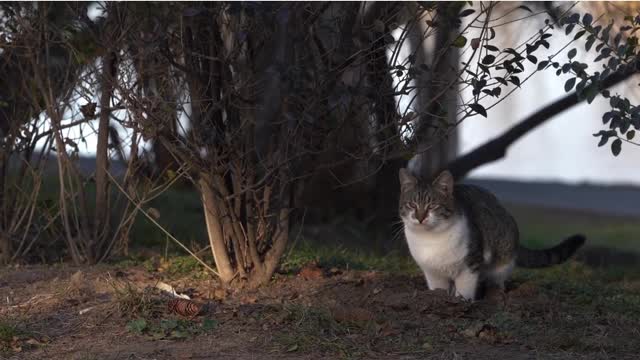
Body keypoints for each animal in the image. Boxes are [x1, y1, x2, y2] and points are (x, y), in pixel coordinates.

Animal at [400, 169, 584, 300]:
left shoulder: (471, 262)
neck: (431, 239)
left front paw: (462, 301)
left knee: (498, 280)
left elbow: (465, 288)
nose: (420, 217)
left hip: (503, 258)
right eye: (411, 205)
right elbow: (438, 289)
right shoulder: (432, 272)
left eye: (432, 206)